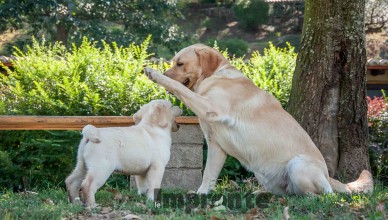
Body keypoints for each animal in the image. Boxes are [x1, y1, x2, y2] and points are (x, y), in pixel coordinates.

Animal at [144, 43, 374, 195]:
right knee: (287, 192)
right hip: (266, 176)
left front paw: (155, 74)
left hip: (298, 165)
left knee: (316, 195)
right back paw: (262, 194)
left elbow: (179, 87)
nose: (166, 71)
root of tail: (328, 177)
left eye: (180, 64)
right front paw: (202, 194)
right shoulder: (216, 145)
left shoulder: (211, 107)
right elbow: (208, 174)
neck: (216, 75)